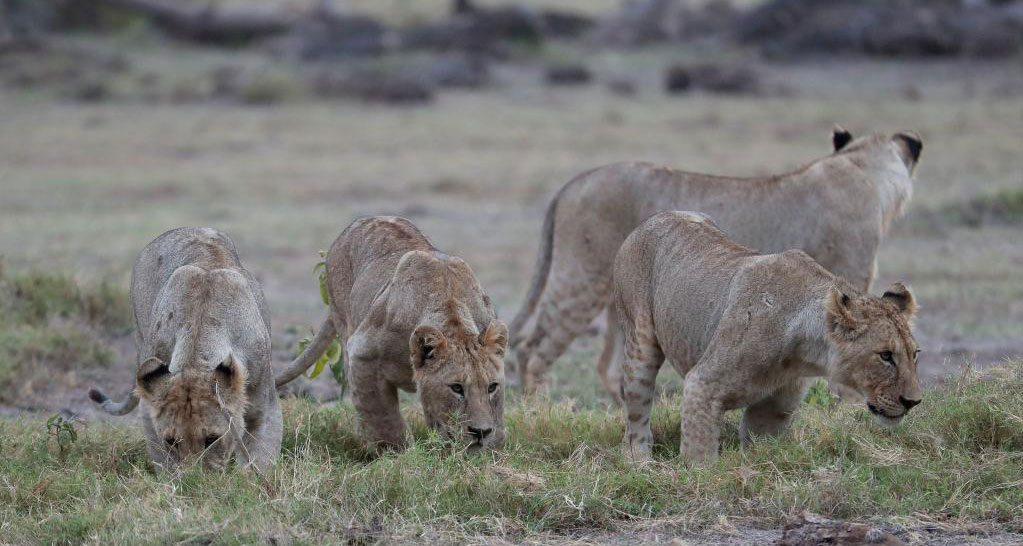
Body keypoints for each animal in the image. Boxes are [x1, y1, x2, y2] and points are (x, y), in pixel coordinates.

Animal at [86, 229, 280, 472]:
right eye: (171, 441)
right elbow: (163, 460)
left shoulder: (265, 408)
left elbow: (259, 460)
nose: (195, 479)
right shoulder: (150, 413)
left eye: (211, 439)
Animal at [276, 217, 507, 453]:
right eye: (456, 388)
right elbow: (384, 418)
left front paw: (493, 449)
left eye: (492, 387)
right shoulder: (363, 353)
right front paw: (398, 453)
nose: (480, 432)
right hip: (343, 321)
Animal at [507, 127, 924, 398]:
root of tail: (574, 181)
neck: (860, 166)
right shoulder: (850, 281)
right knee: (532, 350)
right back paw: (541, 408)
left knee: (608, 367)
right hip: (582, 277)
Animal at [609, 211, 924, 464]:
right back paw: (640, 462)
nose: (913, 402)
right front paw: (700, 477)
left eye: (914, 354)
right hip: (639, 343)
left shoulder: (772, 410)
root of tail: (652, 219)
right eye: (885, 356)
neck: (802, 354)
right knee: (636, 411)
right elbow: (699, 457)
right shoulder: (702, 385)